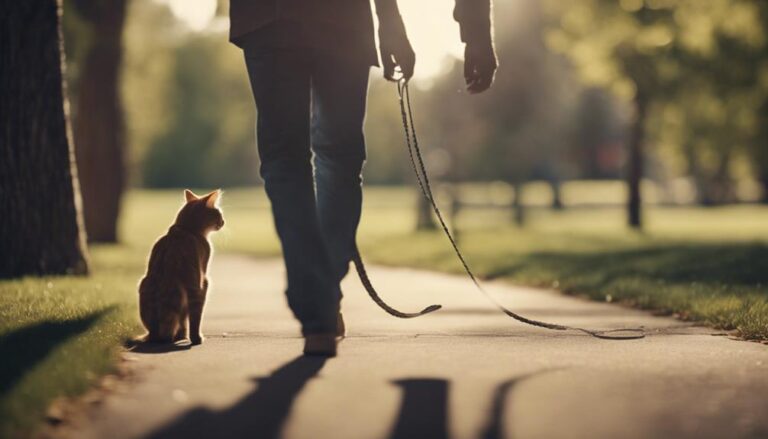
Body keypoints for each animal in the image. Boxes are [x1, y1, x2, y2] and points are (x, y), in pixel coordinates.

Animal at [139, 191, 225, 346]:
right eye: (219, 214)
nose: (223, 222)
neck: (186, 229)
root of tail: (154, 334)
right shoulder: (201, 282)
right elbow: (194, 318)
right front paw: (195, 338)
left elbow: (185, 320)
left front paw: (183, 336)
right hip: (186, 291)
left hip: (144, 283)